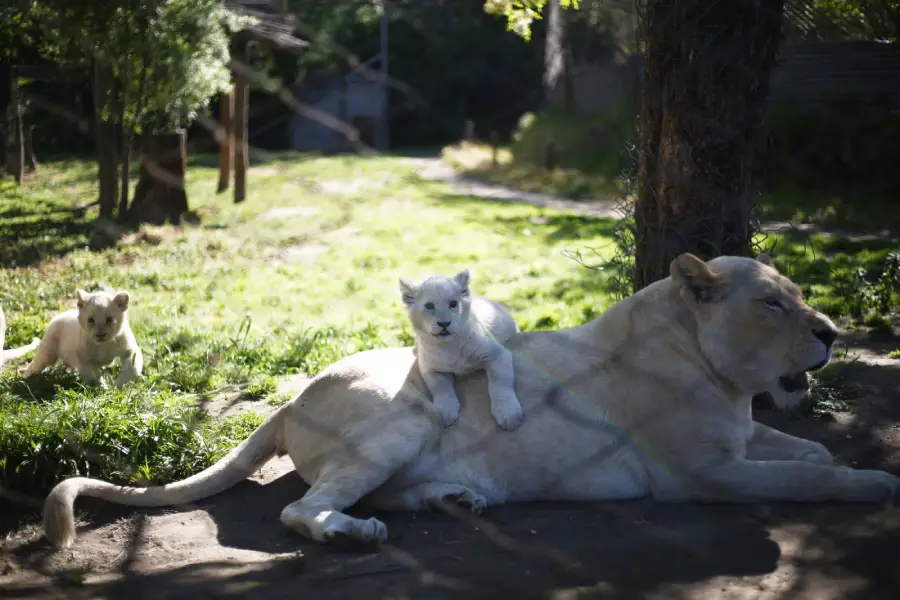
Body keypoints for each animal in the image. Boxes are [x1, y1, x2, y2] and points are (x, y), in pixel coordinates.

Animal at [399, 268, 523, 430]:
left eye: (453, 304)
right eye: (429, 306)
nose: (444, 323)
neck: (448, 346)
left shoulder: (498, 355)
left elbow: (500, 383)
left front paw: (508, 414)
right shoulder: (431, 368)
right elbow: (440, 388)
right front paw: (445, 412)